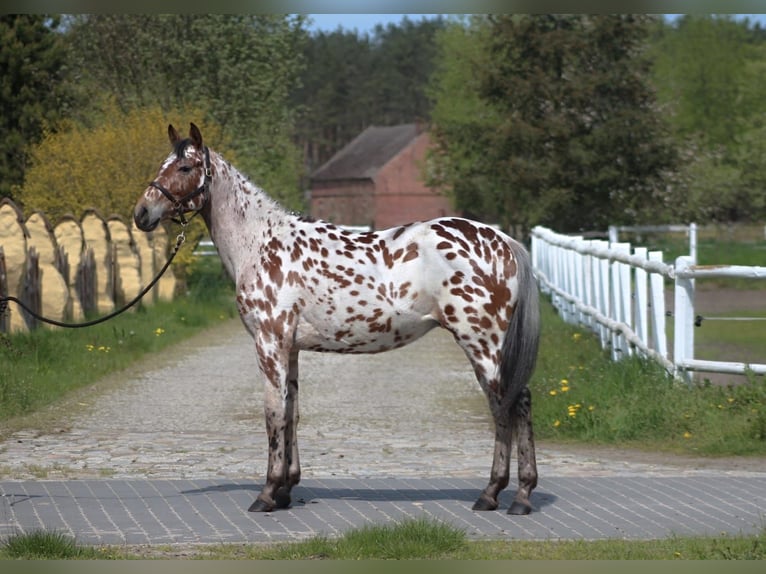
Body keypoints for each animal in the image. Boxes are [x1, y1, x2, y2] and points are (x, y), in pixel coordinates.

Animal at [135, 122, 544, 516]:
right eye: (161, 164)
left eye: (185, 168)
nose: (142, 213)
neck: (261, 243)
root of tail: (505, 241)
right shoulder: (290, 348)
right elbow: (291, 412)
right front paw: (286, 490)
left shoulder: (269, 342)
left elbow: (272, 414)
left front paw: (267, 494)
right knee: (507, 404)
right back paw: (501, 495)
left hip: (483, 343)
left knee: (513, 403)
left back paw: (511, 495)